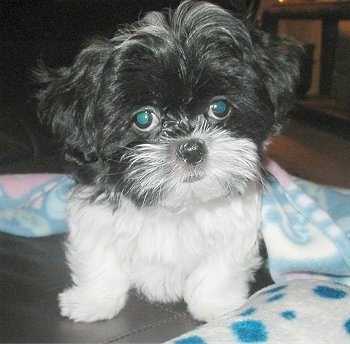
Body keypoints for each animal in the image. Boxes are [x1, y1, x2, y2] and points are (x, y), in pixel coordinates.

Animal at [37, 0, 302, 322]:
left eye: (220, 108)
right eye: (143, 118)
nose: (191, 148)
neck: (178, 204)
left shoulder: (235, 228)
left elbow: (221, 267)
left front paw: (216, 305)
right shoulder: (95, 215)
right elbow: (98, 257)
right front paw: (92, 301)